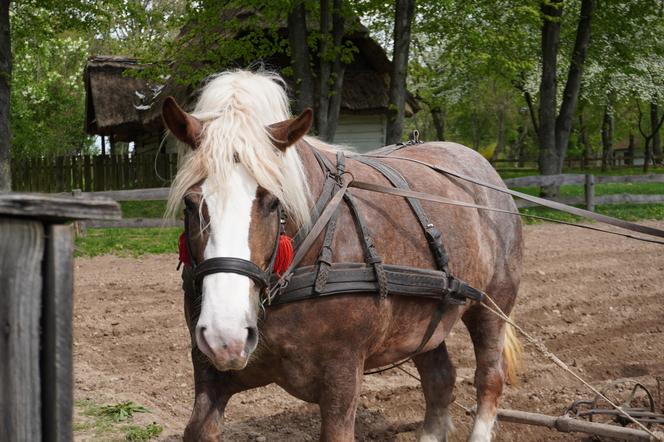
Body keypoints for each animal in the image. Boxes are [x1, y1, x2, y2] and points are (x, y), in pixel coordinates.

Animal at [162, 71, 524, 440]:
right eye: (190, 203)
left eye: (274, 201)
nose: (226, 335)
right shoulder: (209, 371)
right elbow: (198, 426)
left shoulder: (342, 374)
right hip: (424, 321)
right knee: (439, 379)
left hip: (493, 304)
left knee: (489, 378)